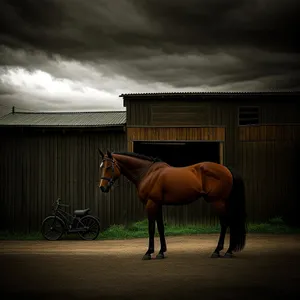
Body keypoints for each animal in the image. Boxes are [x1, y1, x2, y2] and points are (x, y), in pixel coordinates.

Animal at [98, 150, 246, 260]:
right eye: (101, 167)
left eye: (109, 167)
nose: (102, 188)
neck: (147, 173)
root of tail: (226, 169)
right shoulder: (158, 204)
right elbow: (161, 227)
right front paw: (161, 252)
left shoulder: (151, 204)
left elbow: (151, 228)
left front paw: (148, 252)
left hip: (218, 202)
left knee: (226, 224)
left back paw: (221, 251)